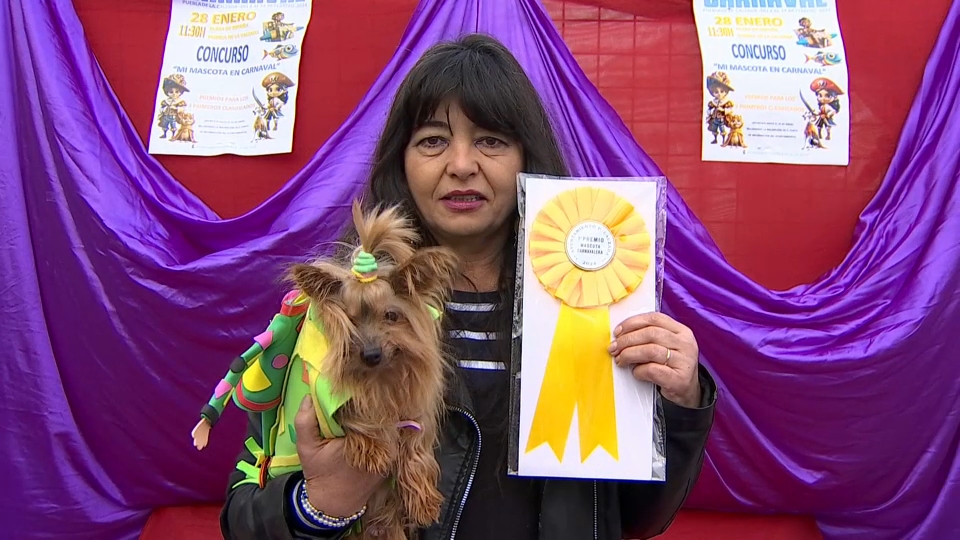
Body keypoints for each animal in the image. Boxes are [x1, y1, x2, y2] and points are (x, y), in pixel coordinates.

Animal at [288, 200, 462, 536]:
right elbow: (354, 413)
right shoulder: (327, 401)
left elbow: (416, 447)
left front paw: (423, 499)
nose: (371, 354)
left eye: (391, 315)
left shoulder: (416, 408)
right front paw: (372, 448)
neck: (379, 379)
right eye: (349, 319)